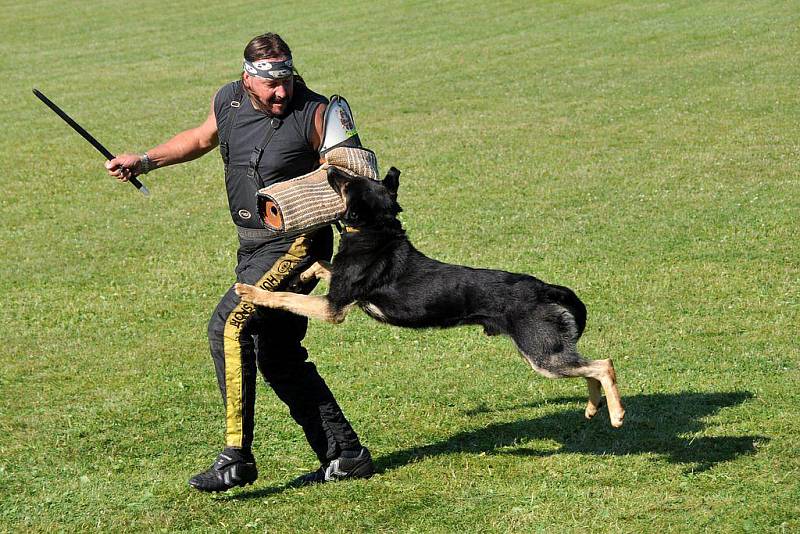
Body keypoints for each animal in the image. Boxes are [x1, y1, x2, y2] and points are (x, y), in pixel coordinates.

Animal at [236, 168, 624, 428]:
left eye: (346, 183)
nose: (330, 168)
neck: (375, 229)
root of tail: (543, 287)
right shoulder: (339, 290)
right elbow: (319, 265)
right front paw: (302, 273)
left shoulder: (334, 309)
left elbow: (284, 297)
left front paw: (251, 291)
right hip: (550, 354)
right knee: (589, 368)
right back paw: (593, 408)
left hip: (542, 355)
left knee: (603, 365)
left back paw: (617, 413)